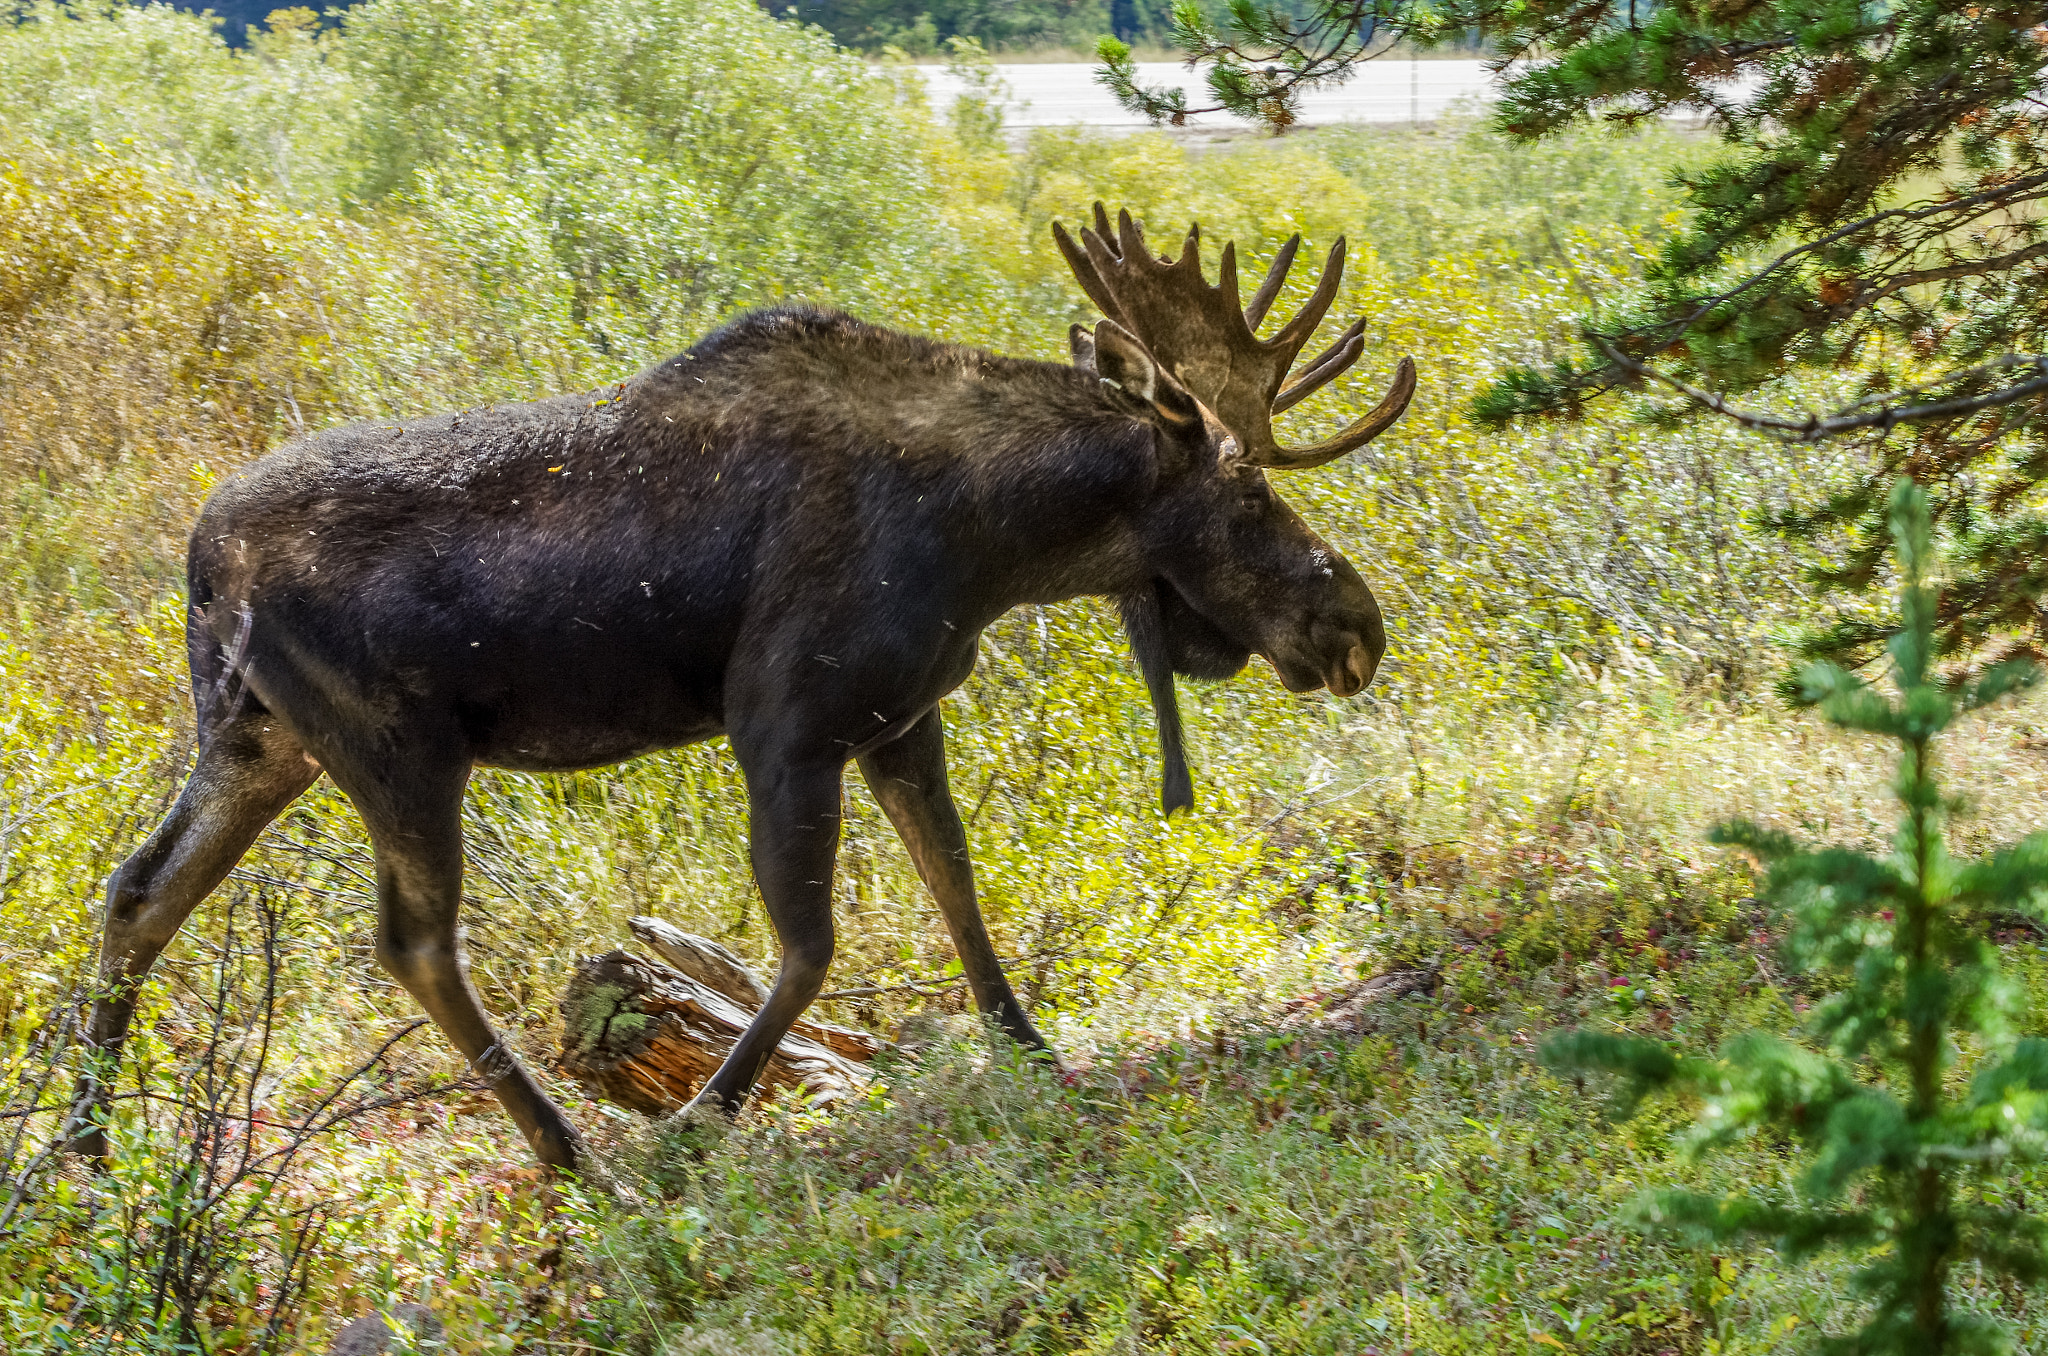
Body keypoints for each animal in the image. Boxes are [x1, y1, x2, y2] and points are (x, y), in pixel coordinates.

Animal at [64, 206, 1409, 1171]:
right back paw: (571, 1152)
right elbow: (808, 949)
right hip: (397, 751)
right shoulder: (784, 725)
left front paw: (1030, 1050)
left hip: (258, 742)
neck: (997, 538)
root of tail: (202, 565)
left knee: (140, 891)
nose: (1357, 626)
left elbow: (956, 891)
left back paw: (86, 1144)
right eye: (1246, 489)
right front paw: (702, 1115)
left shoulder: (901, 720)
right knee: (412, 943)